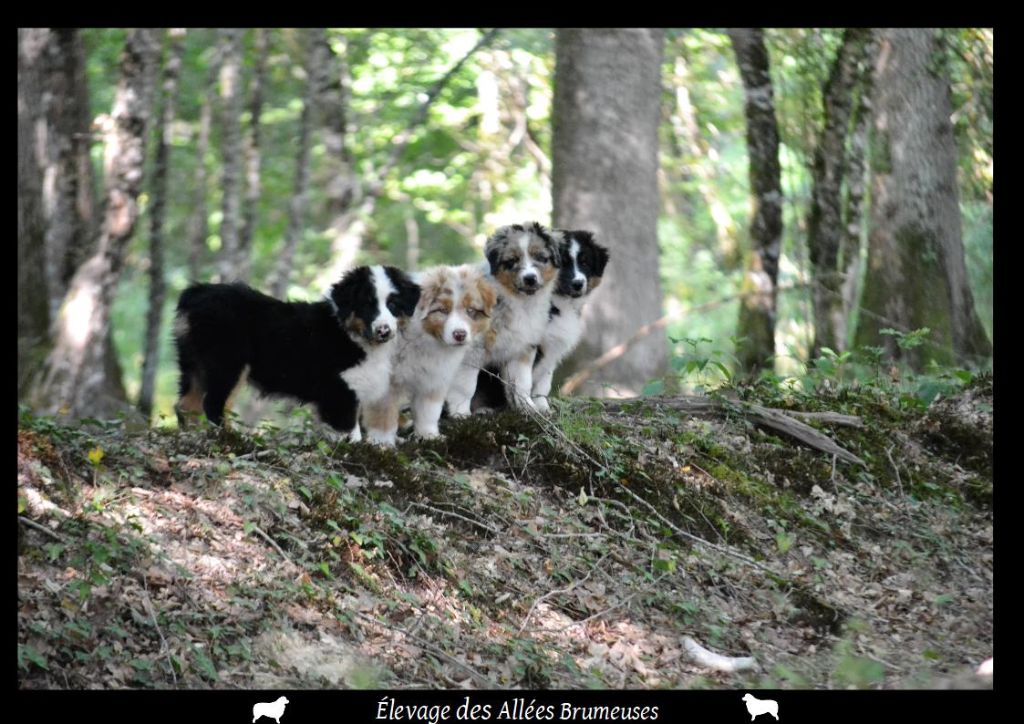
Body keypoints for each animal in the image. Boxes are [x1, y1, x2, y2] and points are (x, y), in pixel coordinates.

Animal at [174, 264, 417, 438]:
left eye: (393, 305)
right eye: (367, 305)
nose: (384, 331)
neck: (351, 335)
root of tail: (196, 292)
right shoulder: (339, 391)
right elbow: (349, 431)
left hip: (194, 363)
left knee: (186, 405)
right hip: (228, 362)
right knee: (213, 404)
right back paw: (231, 438)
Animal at [473, 229, 606, 415]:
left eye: (585, 262)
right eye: (564, 263)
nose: (578, 284)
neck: (558, 302)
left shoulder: (552, 348)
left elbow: (543, 382)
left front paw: (543, 407)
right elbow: (525, 379)